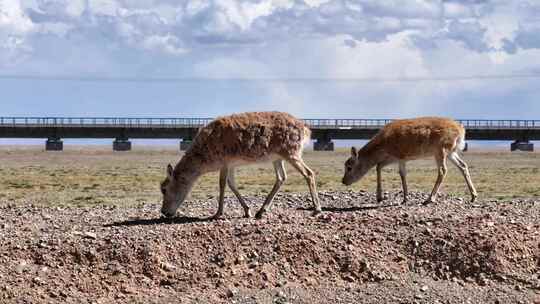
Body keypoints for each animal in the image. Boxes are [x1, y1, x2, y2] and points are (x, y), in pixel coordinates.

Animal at [160, 111, 320, 218]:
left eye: (164, 189)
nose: (164, 212)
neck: (204, 158)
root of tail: (306, 129)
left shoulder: (224, 162)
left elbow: (222, 184)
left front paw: (218, 213)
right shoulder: (231, 164)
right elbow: (232, 184)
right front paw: (247, 211)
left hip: (291, 153)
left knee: (309, 173)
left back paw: (316, 209)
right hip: (277, 158)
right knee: (281, 178)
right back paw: (261, 211)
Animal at [342, 116, 476, 204]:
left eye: (349, 167)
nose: (343, 181)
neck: (383, 144)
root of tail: (461, 129)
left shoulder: (400, 157)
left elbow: (402, 174)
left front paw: (405, 198)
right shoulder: (393, 158)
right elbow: (379, 166)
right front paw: (380, 197)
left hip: (440, 151)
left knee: (443, 170)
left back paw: (429, 199)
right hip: (451, 152)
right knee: (463, 165)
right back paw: (473, 196)